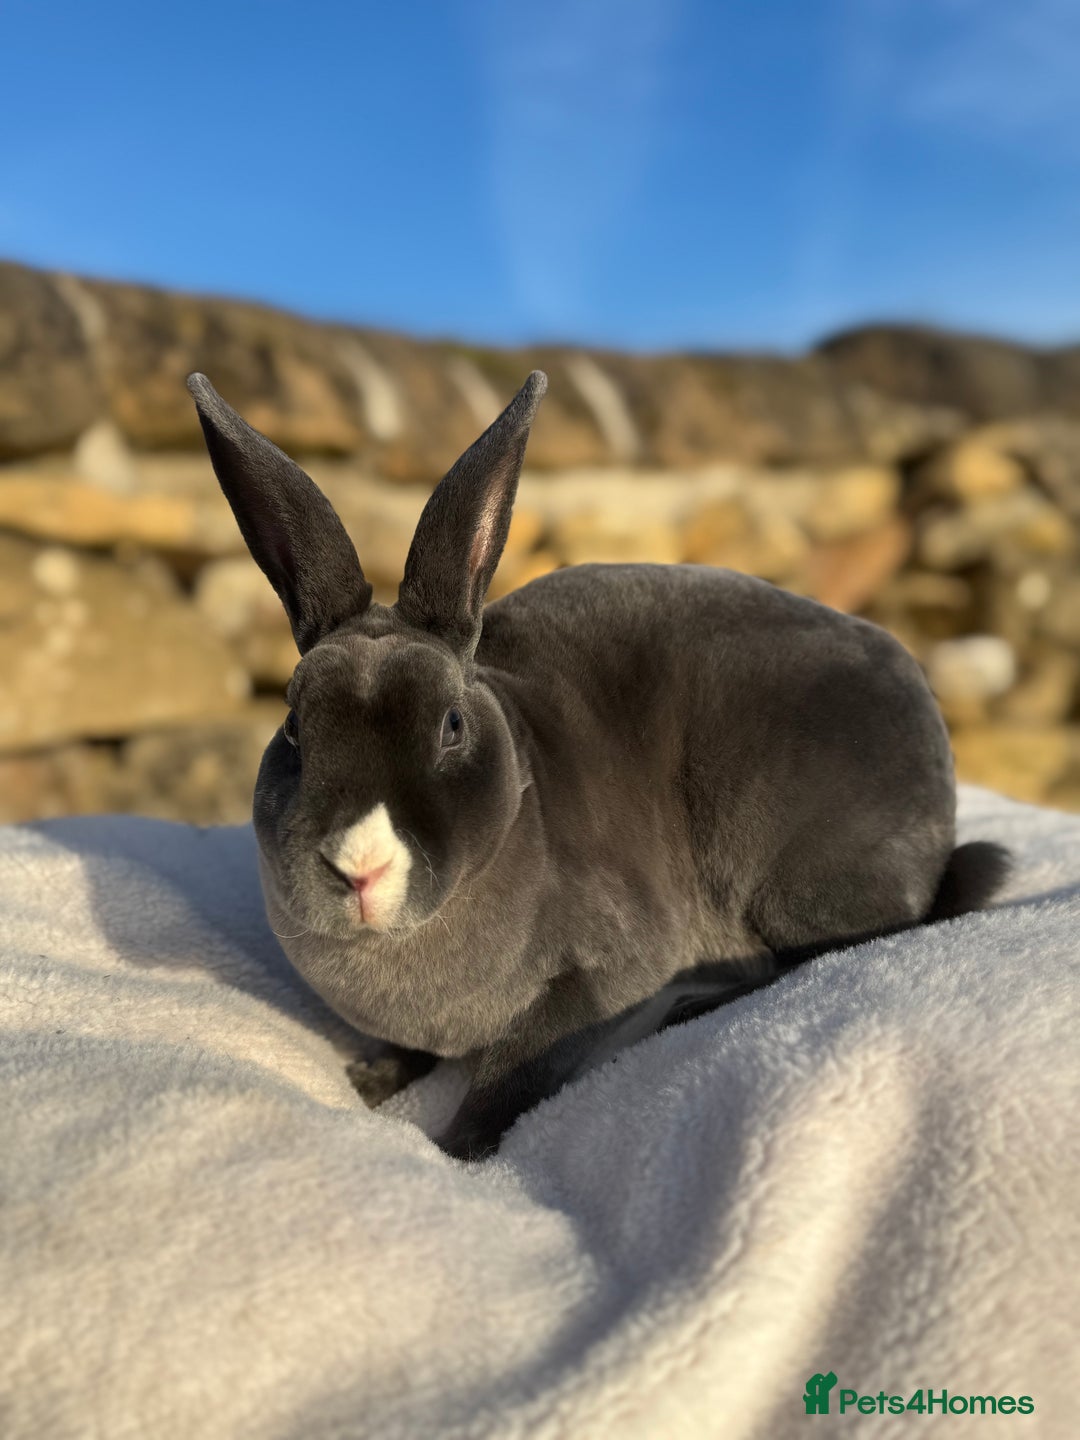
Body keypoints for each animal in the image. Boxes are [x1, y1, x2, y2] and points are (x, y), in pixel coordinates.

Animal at [187, 369, 1008, 1160]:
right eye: (294, 727)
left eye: (451, 726)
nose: (358, 866)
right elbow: (409, 1051)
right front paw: (367, 1078)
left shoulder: (606, 972)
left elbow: (519, 1062)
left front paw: (455, 1146)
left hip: (790, 879)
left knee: (823, 951)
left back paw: (691, 1005)